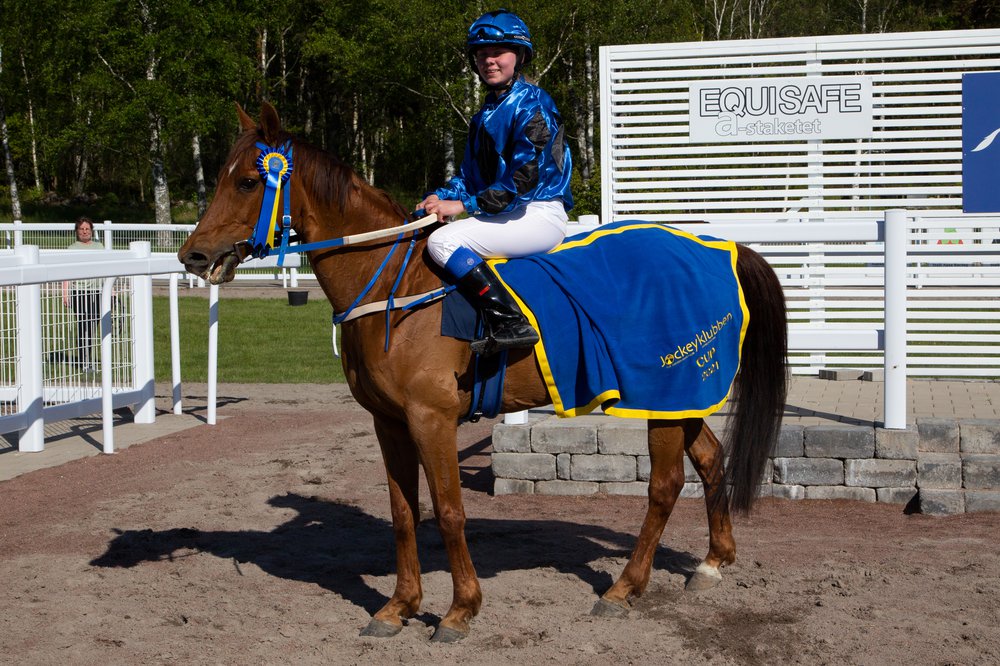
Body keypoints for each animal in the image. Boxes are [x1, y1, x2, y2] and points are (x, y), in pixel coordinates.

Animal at [180, 102, 788, 640]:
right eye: (224, 178)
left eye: (247, 182)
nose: (193, 256)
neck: (393, 285)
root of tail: (720, 247)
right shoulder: (389, 421)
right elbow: (404, 513)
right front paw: (398, 607)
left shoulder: (432, 418)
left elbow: (449, 511)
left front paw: (458, 612)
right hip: (679, 393)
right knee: (710, 458)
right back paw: (712, 562)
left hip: (664, 391)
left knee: (665, 485)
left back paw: (623, 588)